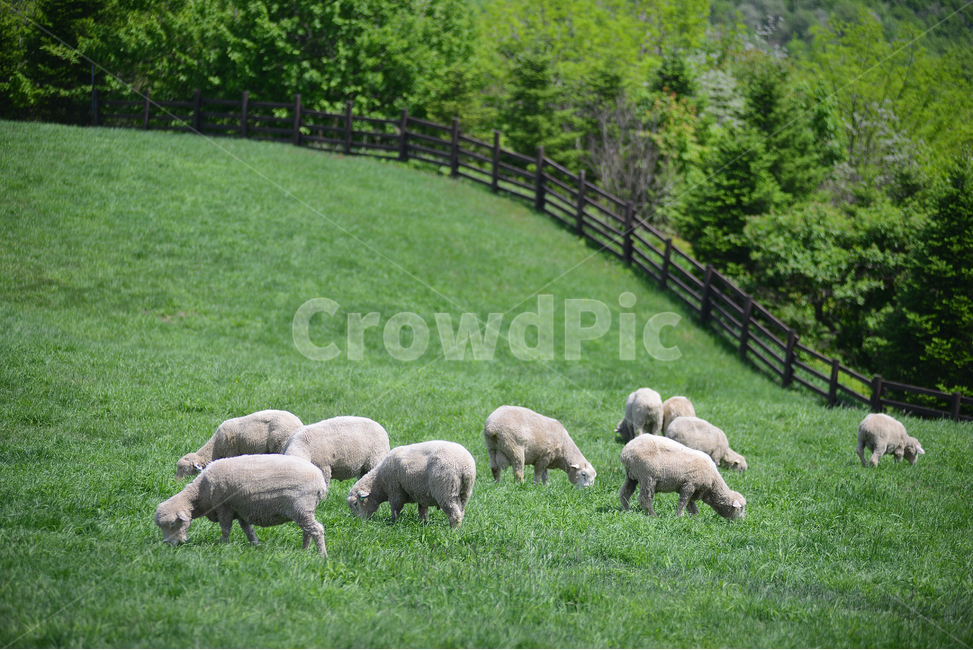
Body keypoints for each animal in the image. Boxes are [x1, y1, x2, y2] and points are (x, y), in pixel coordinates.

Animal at [155, 454, 328, 555]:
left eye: (172, 523)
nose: (168, 544)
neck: (200, 493)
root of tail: (320, 481)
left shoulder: (224, 507)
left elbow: (225, 529)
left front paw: (223, 545)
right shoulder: (241, 510)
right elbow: (248, 530)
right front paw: (256, 545)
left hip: (301, 507)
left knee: (317, 530)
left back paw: (322, 555)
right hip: (303, 511)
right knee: (307, 531)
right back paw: (304, 550)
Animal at [346, 440, 475, 528]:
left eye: (356, 503)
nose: (358, 523)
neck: (379, 482)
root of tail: (466, 466)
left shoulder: (395, 491)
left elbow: (395, 509)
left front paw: (393, 523)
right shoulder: (421, 494)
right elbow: (423, 511)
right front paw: (424, 524)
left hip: (446, 490)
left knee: (454, 514)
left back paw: (453, 531)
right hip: (465, 492)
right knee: (461, 511)